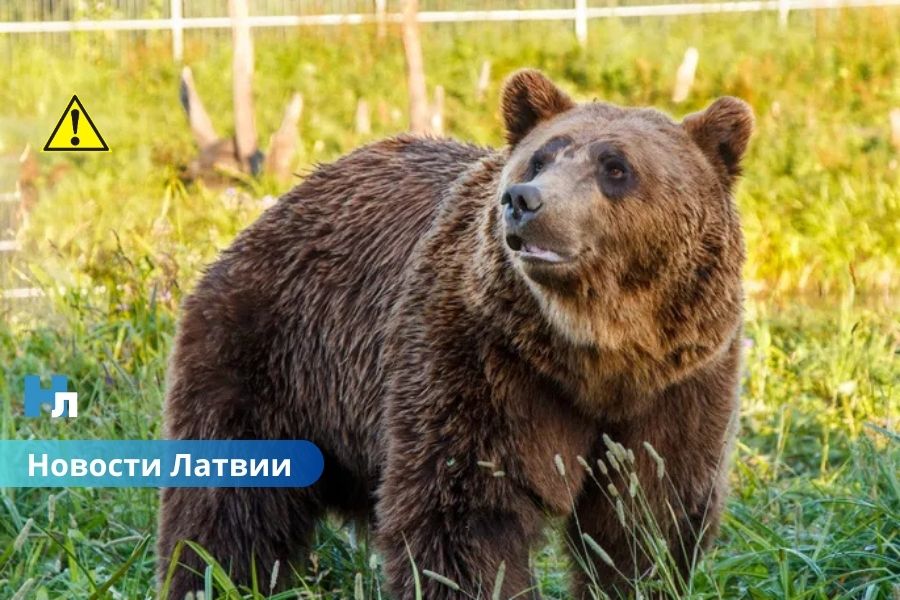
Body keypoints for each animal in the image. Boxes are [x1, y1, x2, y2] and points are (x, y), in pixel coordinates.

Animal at [157, 69, 752, 599]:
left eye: (615, 166)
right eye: (541, 156)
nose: (524, 199)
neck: (594, 352)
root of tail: (283, 202)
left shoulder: (681, 384)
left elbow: (646, 518)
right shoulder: (482, 359)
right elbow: (463, 515)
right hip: (269, 354)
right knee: (230, 505)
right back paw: (212, 581)